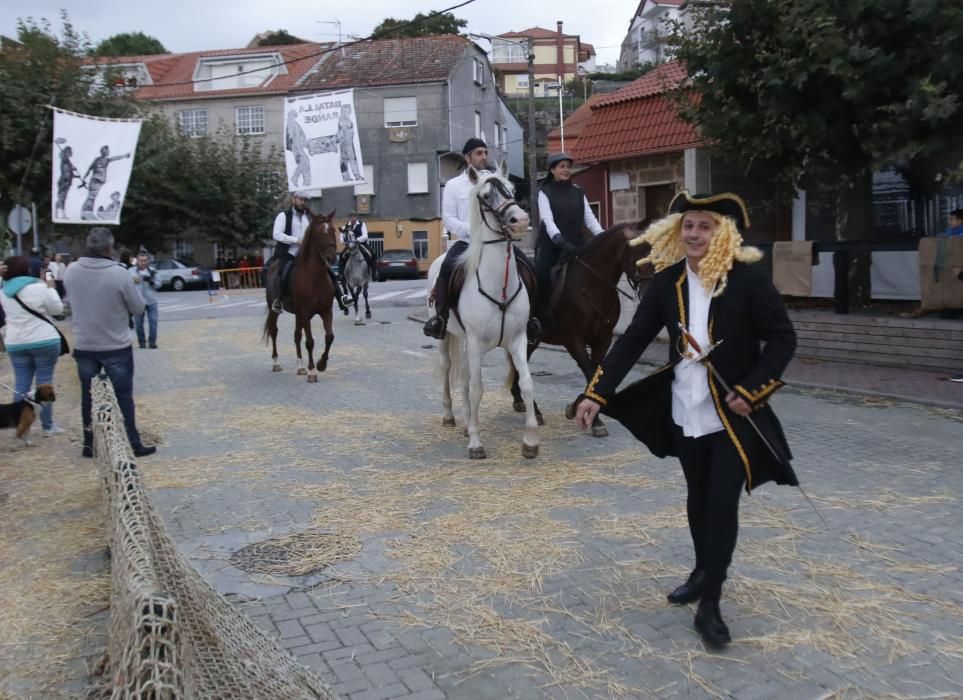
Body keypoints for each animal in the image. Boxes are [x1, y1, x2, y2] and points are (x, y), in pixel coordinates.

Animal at [264, 212, 338, 382]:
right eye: (318, 234)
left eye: (333, 231)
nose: (332, 258)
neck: (315, 277)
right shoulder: (305, 312)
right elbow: (310, 342)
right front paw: (312, 371)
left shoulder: (326, 311)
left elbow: (329, 337)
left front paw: (321, 364)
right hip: (275, 310)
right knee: (274, 331)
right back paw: (276, 363)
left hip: (299, 314)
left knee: (296, 335)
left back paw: (300, 366)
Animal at [428, 163, 540, 460]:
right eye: (486, 196)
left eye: (511, 190)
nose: (520, 220)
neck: (497, 284)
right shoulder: (477, 342)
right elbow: (477, 389)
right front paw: (476, 443)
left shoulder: (518, 339)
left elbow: (526, 383)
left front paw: (530, 442)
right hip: (446, 337)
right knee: (448, 369)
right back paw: (450, 416)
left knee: (465, 375)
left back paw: (468, 422)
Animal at [504, 223, 656, 432]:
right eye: (636, 252)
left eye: (651, 248)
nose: (649, 291)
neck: (591, 286)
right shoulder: (573, 341)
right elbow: (590, 372)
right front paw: (590, 417)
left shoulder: (603, 339)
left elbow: (596, 374)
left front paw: (578, 409)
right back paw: (534, 410)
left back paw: (519, 400)